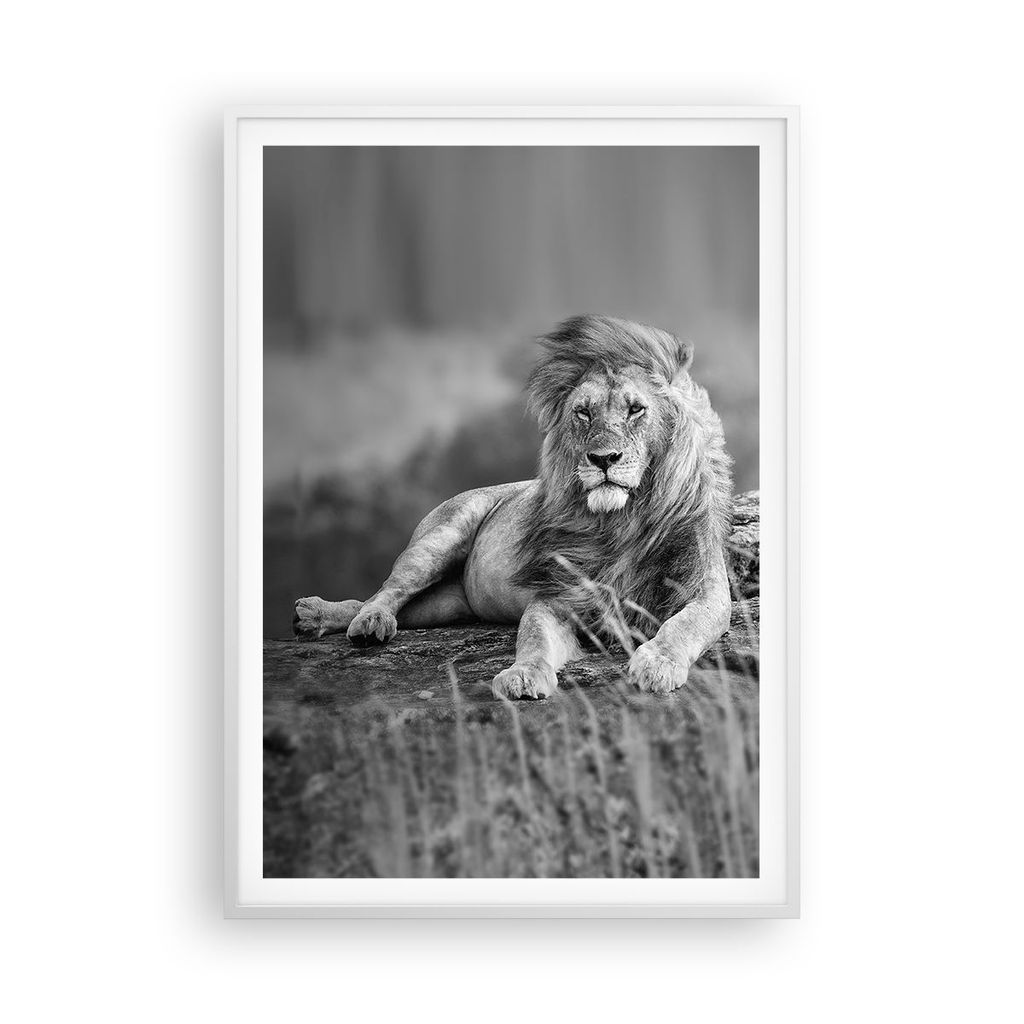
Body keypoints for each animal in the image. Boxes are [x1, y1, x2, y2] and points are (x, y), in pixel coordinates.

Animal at [293, 314, 734, 698]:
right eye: (583, 412)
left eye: (635, 409)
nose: (603, 459)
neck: (621, 520)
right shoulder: (557, 595)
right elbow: (534, 637)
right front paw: (523, 676)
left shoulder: (706, 590)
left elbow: (684, 625)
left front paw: (658, 663)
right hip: (438, 539)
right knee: (387, 591)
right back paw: (358, 620)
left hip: (447, 606)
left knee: (392, 605)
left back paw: (318, 616)